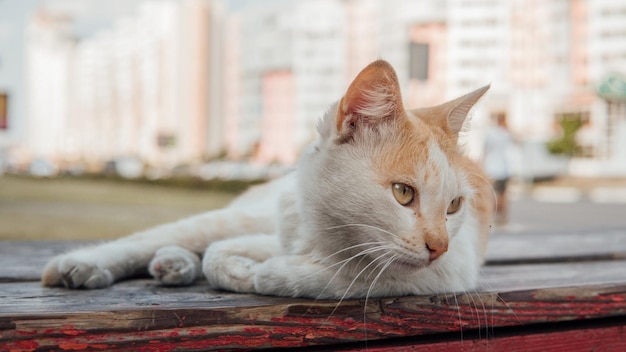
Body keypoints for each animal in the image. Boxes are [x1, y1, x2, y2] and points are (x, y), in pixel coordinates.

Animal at [42, 60, 492, 300]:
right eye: (402, 193)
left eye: (454, 206)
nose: (438, 245)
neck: (330, 237)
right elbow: (222, 253)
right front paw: (244, 270)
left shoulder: (453, 267)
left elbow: (365, 277)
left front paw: (266, 273)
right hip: (239, 216)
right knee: (152, 238)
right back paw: (86, 265)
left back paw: (174, 263)